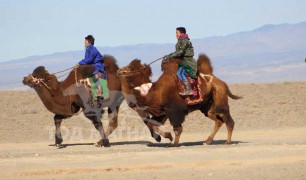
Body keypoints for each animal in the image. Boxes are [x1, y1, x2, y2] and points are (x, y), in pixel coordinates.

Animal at [22, 55, 161, 147]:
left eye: (36, 77)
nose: (24, 78)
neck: (66, 92)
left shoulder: (88, 107)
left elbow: (97, 123)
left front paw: (105, 142)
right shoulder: (74, 107)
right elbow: (57, 118)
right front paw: (58, 142)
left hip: (128, 96)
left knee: (141, 113)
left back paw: (159, 136)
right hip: (115, 102)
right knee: (115, 122)